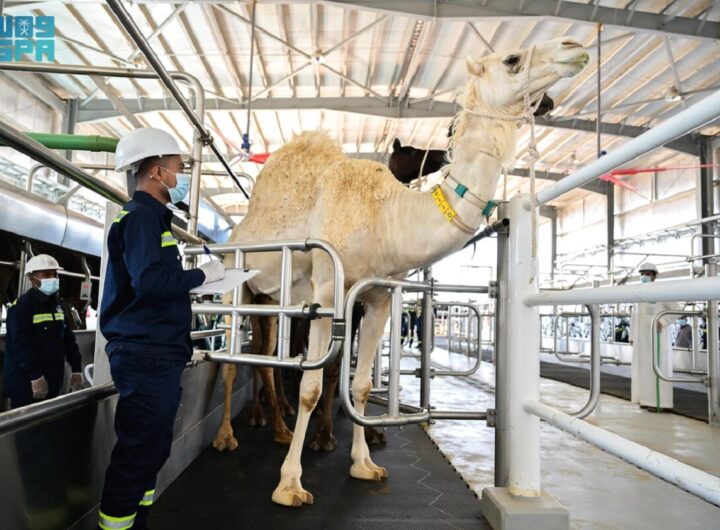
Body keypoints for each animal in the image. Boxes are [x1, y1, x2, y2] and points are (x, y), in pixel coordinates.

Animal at [212, 38, 589, 506]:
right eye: (512, 59)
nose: (575, 48)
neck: (385, 215)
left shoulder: (377, 298)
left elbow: (357, 386)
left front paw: (363, 464)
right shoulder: (327, 292)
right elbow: (312, 387)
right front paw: (289, 484)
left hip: (270, 297)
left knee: (263, 356)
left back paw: (277, 427)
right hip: (236, 283)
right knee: (232, 360)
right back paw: (227, 437)